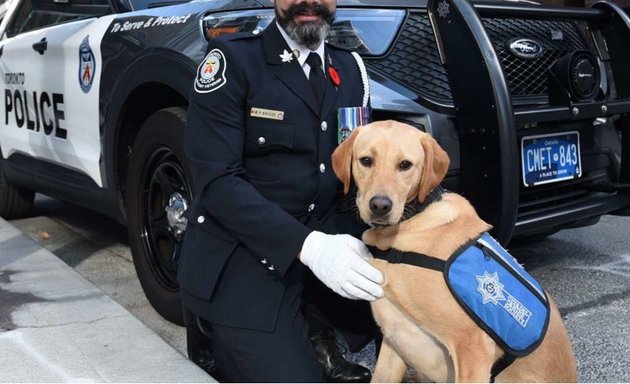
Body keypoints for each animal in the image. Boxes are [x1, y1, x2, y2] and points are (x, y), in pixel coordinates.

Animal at [334, 119, 580, 380]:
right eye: (366, 160)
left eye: (405, 165)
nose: (380, 205)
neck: (413, 219)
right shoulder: (394, 342)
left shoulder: (473, 345)